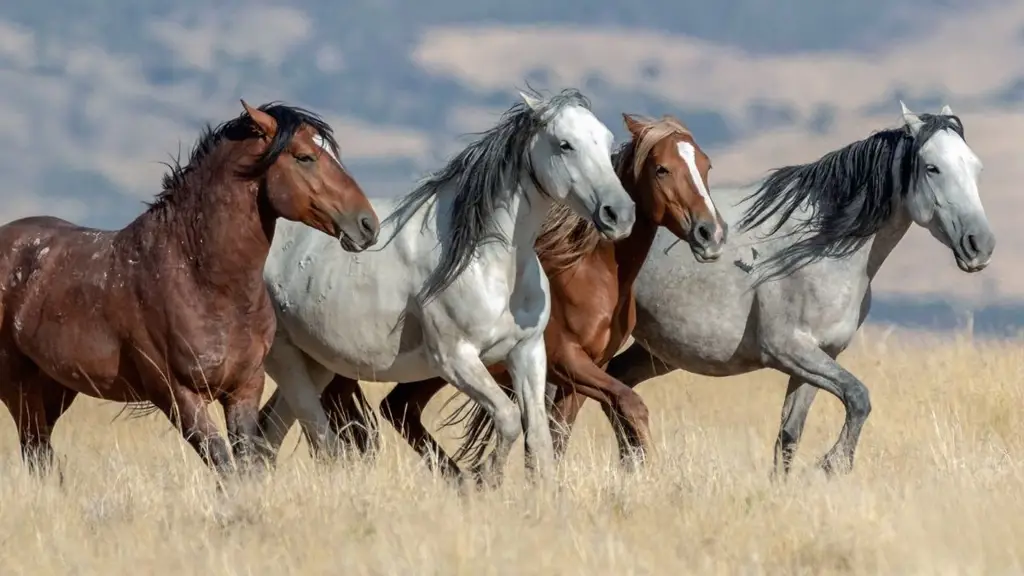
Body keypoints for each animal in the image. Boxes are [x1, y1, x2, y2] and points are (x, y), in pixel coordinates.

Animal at [0, 99, 380, 475]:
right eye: (305, 157)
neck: (201, 280)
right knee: (35, 449)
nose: (368, 225)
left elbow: (247, 464)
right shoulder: (177, 395)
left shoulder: (244, 388)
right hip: (20, 386)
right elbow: (223, 463)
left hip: (56, 386)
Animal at [272, 111, 733, 475]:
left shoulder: (578, 373)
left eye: (706, 165)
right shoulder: (568, 361)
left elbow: (557, 435)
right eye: (662, 169)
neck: (589, 271)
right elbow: (629, 404)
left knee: (394, 411)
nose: (711, 234)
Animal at [540, 100, 995, 473]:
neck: (820, 247)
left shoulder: (819, 357)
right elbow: (859, 396)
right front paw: (833, 463)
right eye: (933, 167)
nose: (981, 245)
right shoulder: (789, 349)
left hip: (653, 352)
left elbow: (789, 437)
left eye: (975, 166)